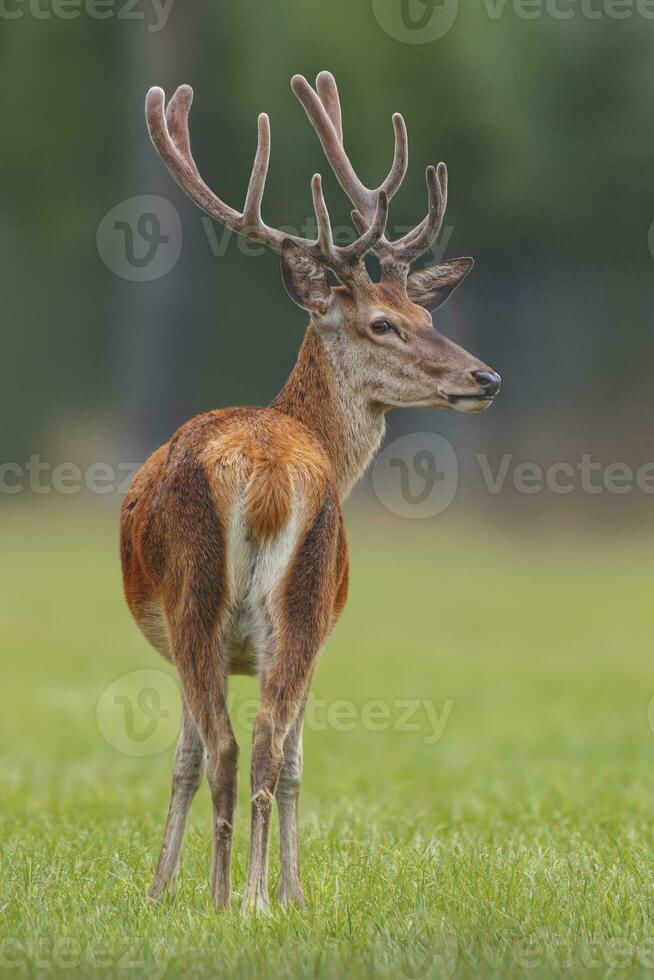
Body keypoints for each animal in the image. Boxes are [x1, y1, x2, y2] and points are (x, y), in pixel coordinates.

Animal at [120, 69, 502, 912]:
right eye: (384, 323)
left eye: (424, 310)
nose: (484, 375)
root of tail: (265, 469)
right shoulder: (320, 628)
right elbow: (266, 760)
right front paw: (271, 892)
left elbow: (209, 760)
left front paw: (175, 890)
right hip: (286, 600)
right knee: (252, 743)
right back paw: (243, 897)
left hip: (223, 598)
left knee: (240, 745)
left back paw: (235, 899)